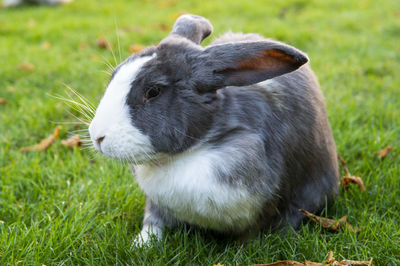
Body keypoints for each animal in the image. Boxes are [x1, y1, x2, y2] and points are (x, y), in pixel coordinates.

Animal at [88, 14, 340, 245]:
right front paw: (141, 245)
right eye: (115, 74)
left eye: (153, 91)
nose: (97, 136)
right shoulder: (157, 204)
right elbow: (153, 223)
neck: (190, 152)